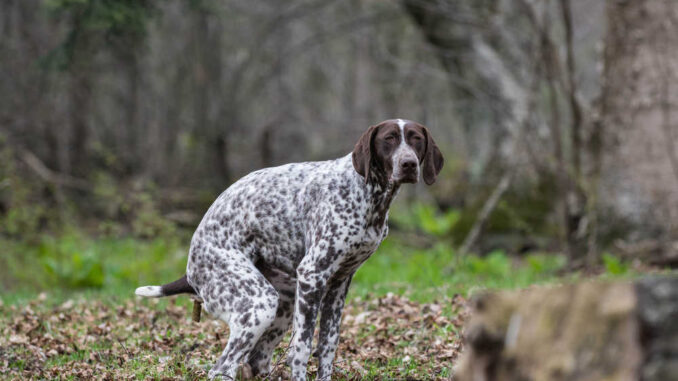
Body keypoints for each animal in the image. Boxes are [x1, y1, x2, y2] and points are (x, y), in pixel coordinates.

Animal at [138, 118, 446, 378]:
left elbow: (327, 349)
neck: (368, 194)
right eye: (389, 139)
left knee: (255, 361)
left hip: (283, 302)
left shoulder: (338, 286)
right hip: (258, 304)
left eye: (416, 139)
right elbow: (301, 350)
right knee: (222, 368)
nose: (408, 164)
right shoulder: (312, 276)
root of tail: (191, 266)